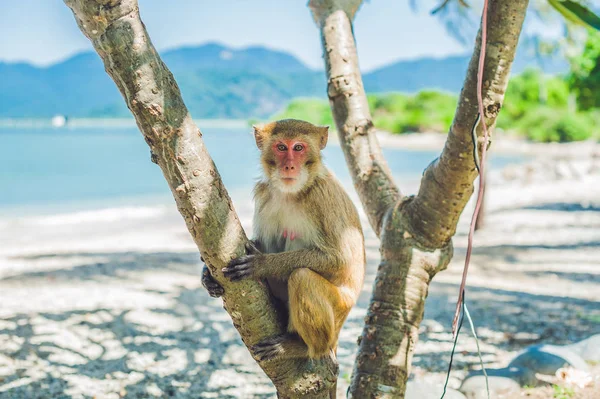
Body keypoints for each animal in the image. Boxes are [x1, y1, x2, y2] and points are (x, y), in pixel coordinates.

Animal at [202, 119, 364, 362]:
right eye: (281, 147)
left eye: (298, 148)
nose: (289, 166)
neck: (293, 193)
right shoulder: (266, 195)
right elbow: (266, 243)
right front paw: (206, 275)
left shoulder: (323, 196)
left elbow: (339, 259)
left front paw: (262, 264)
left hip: (338, 312)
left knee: (302, 277)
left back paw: (303, 347)